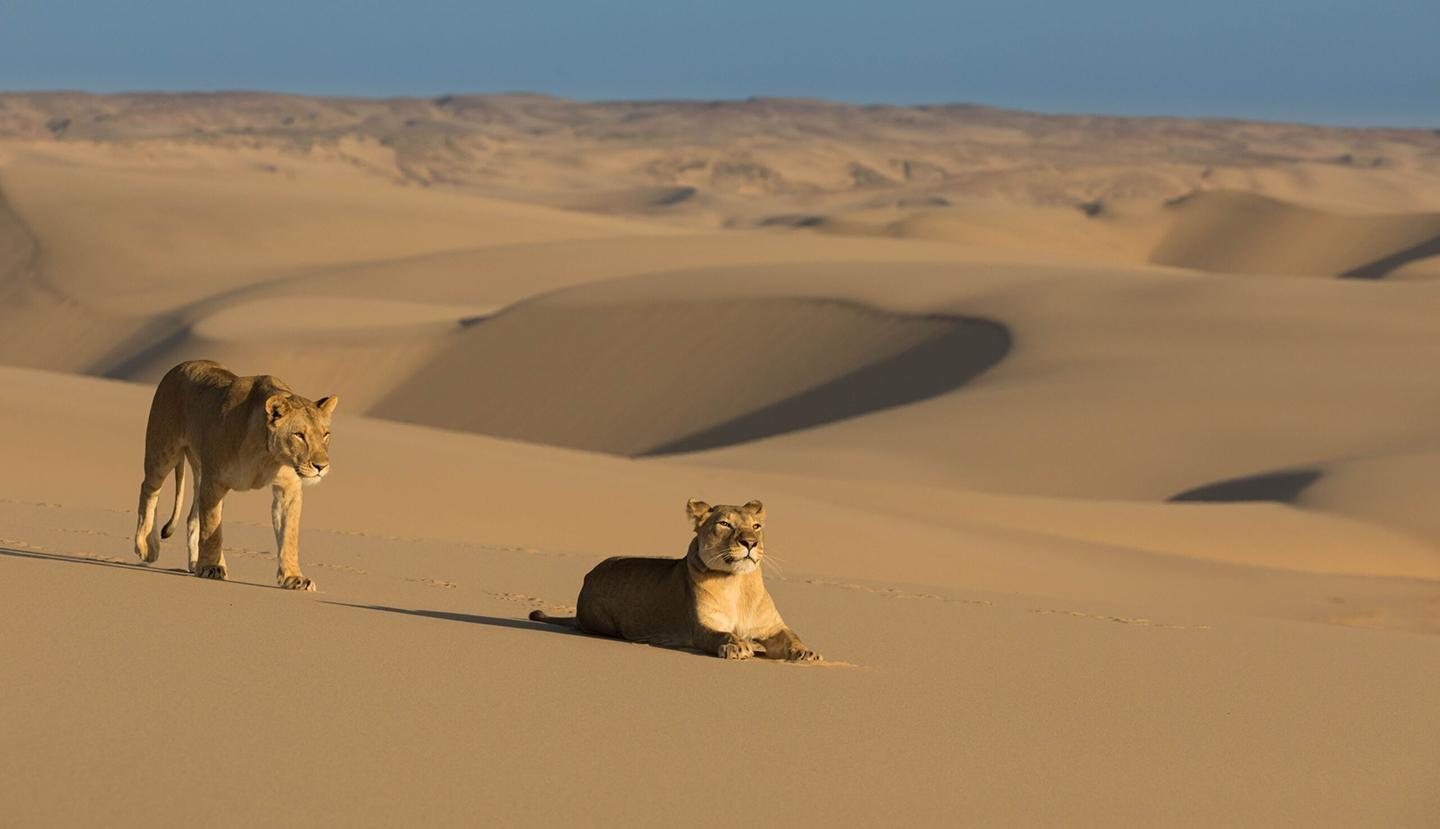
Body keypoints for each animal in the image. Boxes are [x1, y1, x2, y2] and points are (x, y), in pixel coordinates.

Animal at [132, 360, 338, 590]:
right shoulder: (215, 481)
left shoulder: (288, 490)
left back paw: (195, 562)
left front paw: (294, 578)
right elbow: (212, 528)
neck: (267, 455)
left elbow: (289, 535)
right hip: (163, 451)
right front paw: (211, 567)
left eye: (325, 435)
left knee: (192, 517)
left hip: (200, 472)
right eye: (299, 435)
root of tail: (181, 365)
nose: (322, 466)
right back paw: (146, 547)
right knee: (149, 490)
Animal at [530, 499, 822, 661]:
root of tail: (589, 575)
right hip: (602, 623)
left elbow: (792, 637)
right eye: (725, 524)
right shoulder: (702, 627)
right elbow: (723, 634)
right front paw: (737, 646)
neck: (737, 584)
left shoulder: (772, 628)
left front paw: (807, 653)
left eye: (756, 526)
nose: (750, 542)